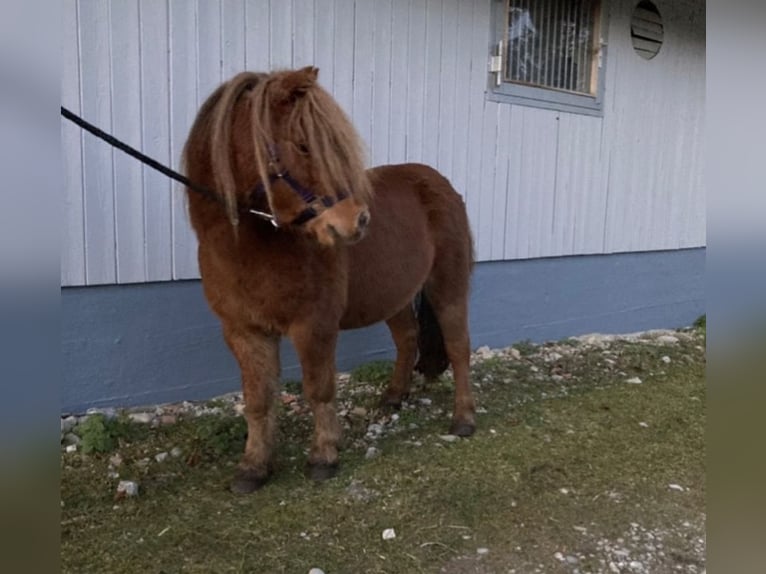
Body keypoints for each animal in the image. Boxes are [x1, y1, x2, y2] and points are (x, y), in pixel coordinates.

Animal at [182, 67, 476, 493]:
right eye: (303, 146)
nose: (357, 221)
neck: (252, 246)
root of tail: (439, 182)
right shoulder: (243, 331)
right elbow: (257, 399)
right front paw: (253, 466)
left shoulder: (314, 325)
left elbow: (319, 389)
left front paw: (323, 456)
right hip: (395, 294)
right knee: (407, 338)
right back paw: (393, 396)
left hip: (447, 285)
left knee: (458, 347)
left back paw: (464, 418)